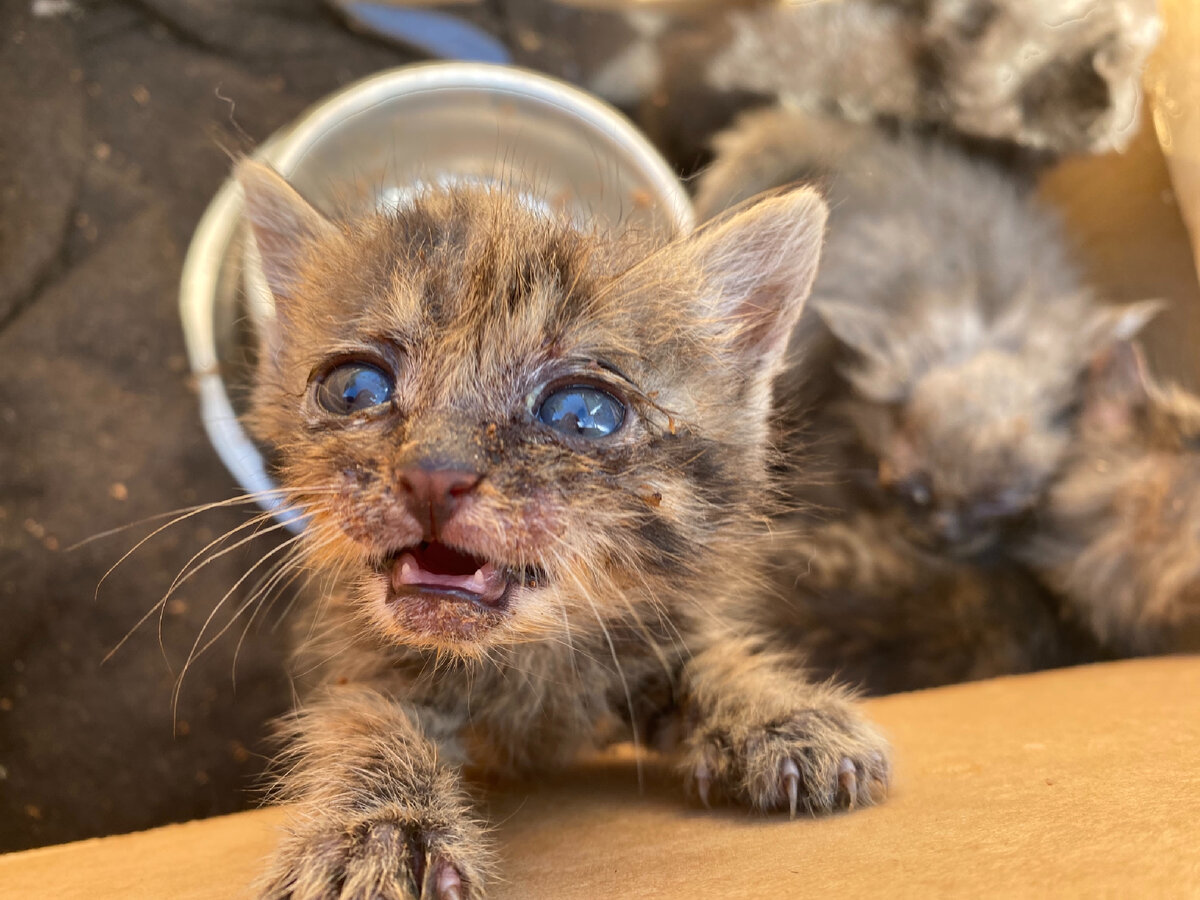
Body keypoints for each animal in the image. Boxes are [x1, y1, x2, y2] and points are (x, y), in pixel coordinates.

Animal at [234, 164, 892, 900]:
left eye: (582, 413)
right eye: (354, 390)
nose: (432, 474)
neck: (522, 660)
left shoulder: (652, 621)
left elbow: (705, 653)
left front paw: (778, 715)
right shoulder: (352, 657)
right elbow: (362, 719)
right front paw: (378, 832)